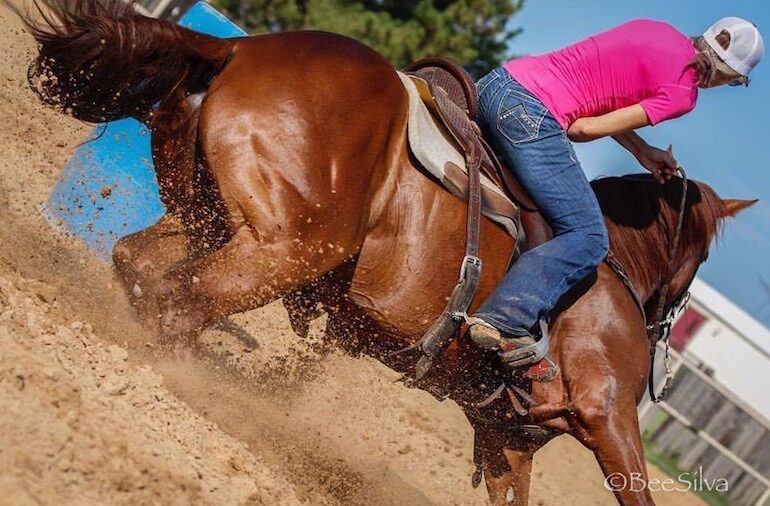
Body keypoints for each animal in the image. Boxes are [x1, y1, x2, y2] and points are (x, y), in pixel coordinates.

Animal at [5, 1, 756, 504]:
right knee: (179, 301)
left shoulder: (506, 436)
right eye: (694, 269)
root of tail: (241, 52)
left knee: (138, 265)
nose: (667, 328)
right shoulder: (610, 419)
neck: (614, 273)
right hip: (290, 247)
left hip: (212, 222)